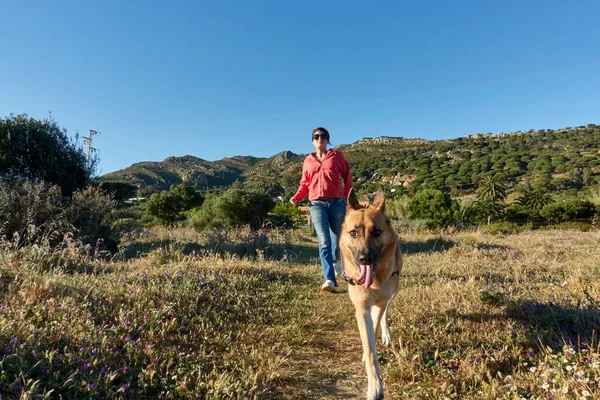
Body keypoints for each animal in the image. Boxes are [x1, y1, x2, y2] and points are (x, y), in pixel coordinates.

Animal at [340, 188, 400, 400]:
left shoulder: (380, 303)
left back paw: (387, 333)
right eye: (353, 233)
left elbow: (374, 326)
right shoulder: (361, 308)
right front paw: (375, 386)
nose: (364, 259)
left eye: (376, 232)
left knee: (386, 311)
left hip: (393, 291)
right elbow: (370, 348)